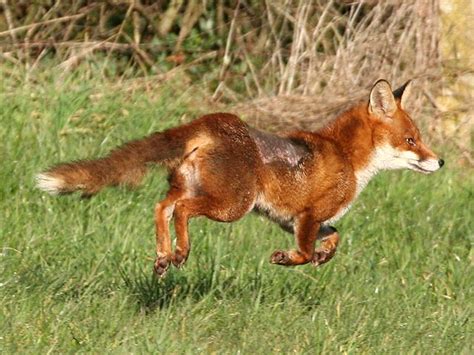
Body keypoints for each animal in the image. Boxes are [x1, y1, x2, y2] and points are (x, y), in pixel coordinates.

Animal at [37, 79, 444, 276]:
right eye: (412, 140)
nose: (439, 162)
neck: (346, 157)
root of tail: (213, 121)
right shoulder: (307, 216)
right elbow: (304, 251)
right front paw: (289, 260)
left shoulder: (290, 220)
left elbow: (335, 237)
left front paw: (323, 258)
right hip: (233, 205)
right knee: (182, 210)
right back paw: (181, 252)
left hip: (194, 190)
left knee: (162, 206)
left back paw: (164, 255)